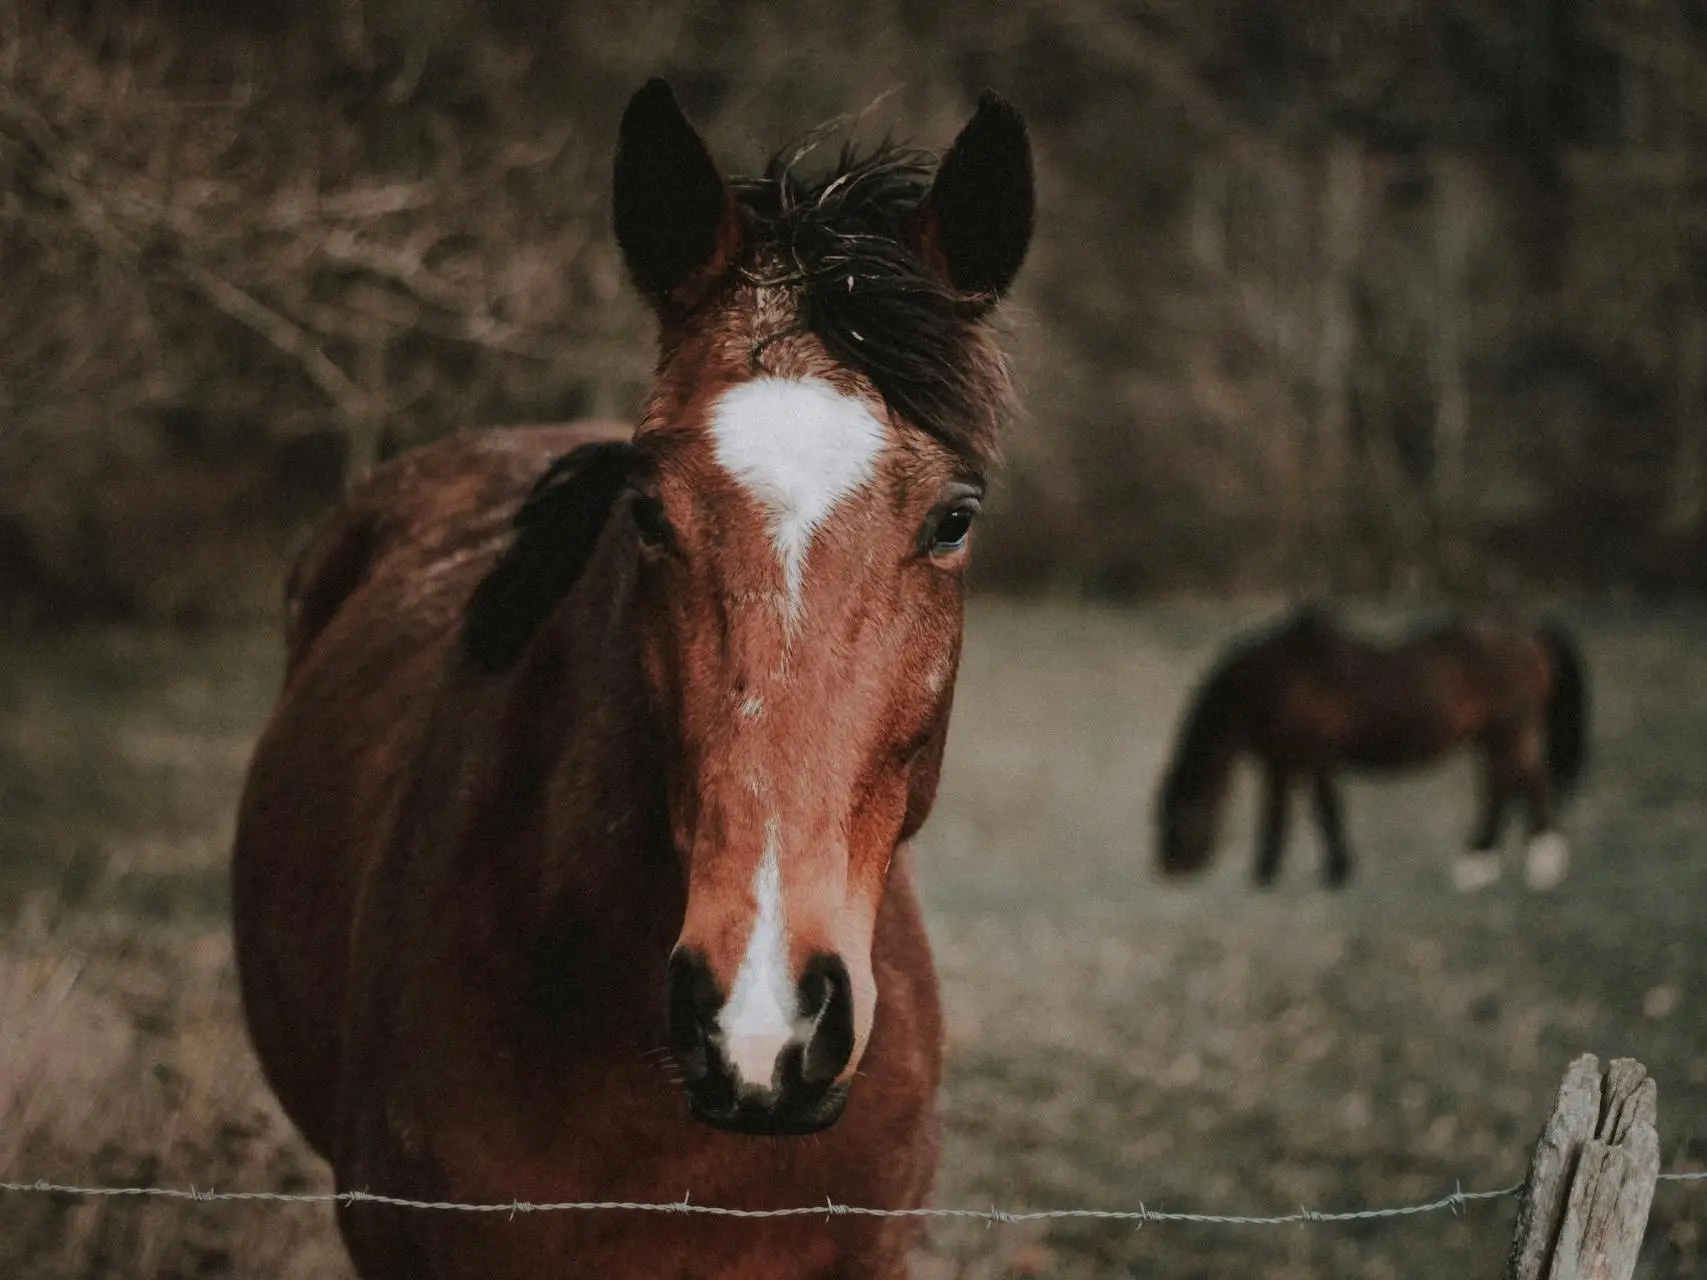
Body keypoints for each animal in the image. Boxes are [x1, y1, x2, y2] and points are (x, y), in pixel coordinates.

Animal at [1153, 607, 1590, 894]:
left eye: (1178, 815)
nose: (1168, 869)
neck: (1273, 684)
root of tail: (1525, 631)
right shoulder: (1283, 763)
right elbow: (1277, 814)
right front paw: (1266, 871)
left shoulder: (1315, 760)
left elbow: (1325, 812)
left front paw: (1336, 870)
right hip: (1491, 739)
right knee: (1500, 787)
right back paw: (1479, 862)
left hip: (1510, 735)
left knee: (1529, 783)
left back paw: (1543, 863)